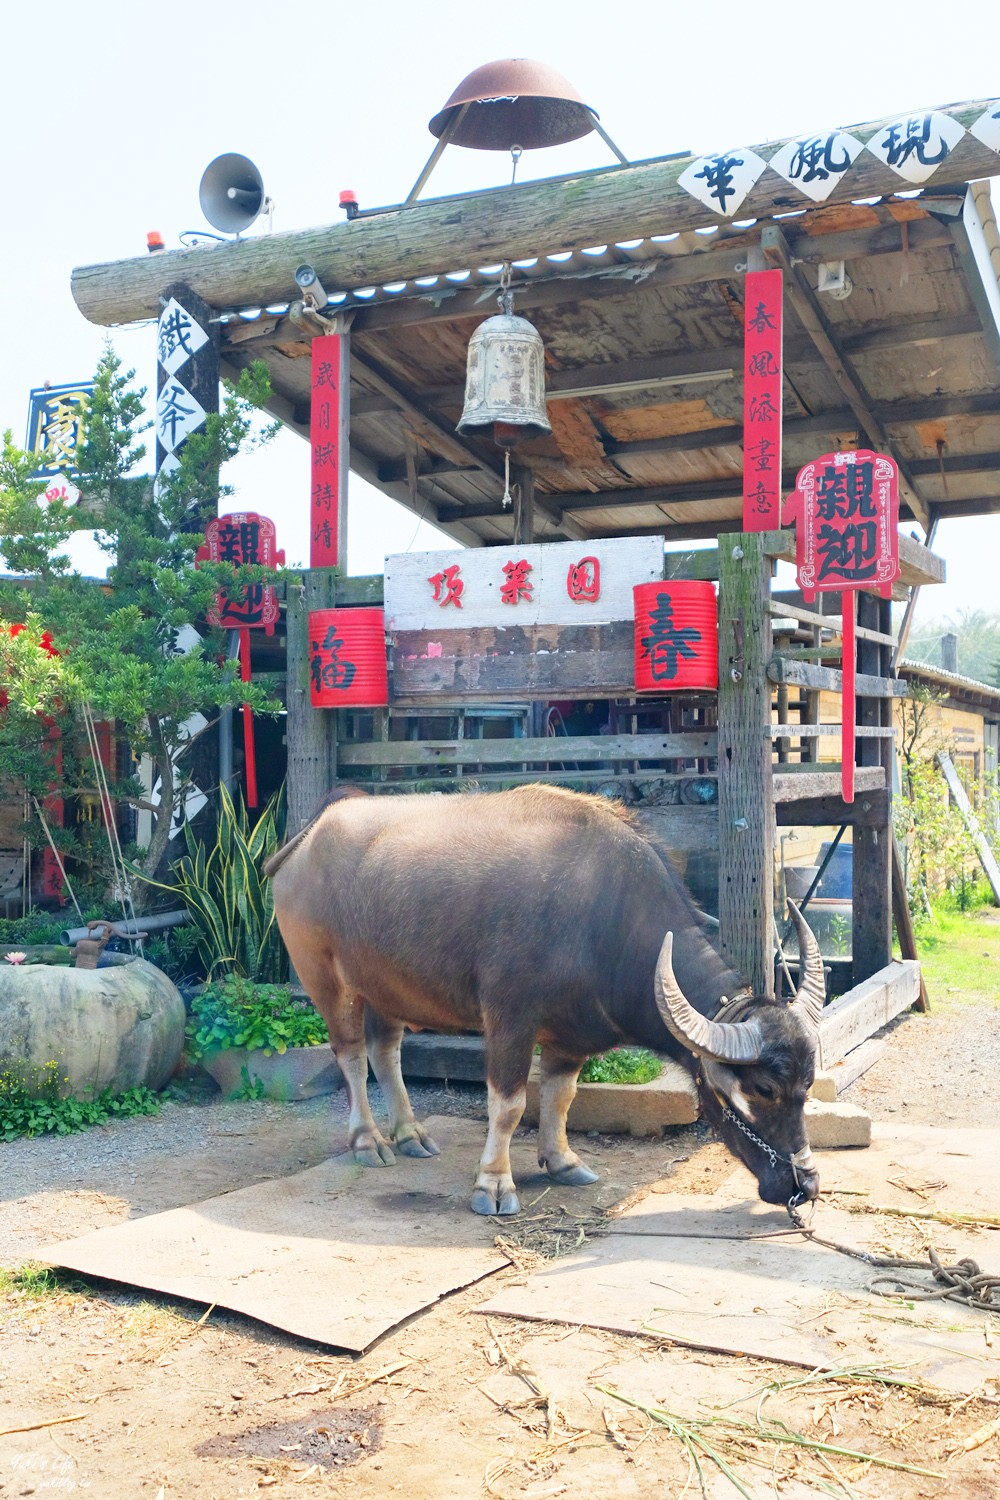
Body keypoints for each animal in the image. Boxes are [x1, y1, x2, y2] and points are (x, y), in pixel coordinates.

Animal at [265, 786, 821, 1218]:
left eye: (807, 1085)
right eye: (765, 1089)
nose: (806, 1185)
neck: (603, 918)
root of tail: (307, 838)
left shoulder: (569, 1034)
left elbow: (560, 1096)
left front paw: (563, 1162)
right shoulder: (509, 1018)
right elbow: (510, 1104)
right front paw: (493, 1184)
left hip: (386, 985)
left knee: (386, 1051)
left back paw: (409, 1134)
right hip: (327, 980)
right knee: (352, 1055)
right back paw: (369, 1140)